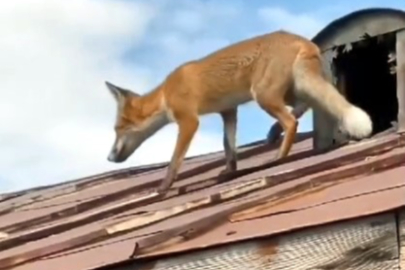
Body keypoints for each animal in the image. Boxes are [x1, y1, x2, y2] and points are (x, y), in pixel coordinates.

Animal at [105, 30, 372, 193]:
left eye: (117, 130)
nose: (109, 157)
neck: (164, 94)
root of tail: (301, 39)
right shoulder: (228, 111)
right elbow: (229, 146)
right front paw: (229, 171)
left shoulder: (189, 120)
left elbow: (174, 160)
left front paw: (164, 187)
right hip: (291, 91)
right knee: (305, 106)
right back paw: (274, 133)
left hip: (264, 95)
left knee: (291, 122)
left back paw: (279, 157)